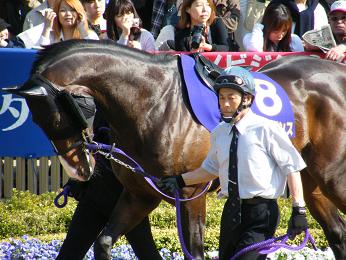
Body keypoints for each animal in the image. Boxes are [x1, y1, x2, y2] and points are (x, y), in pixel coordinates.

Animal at [5, 39, 346, 258]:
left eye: (56, 116)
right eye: (36, 120)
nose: (78, 169)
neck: (154, 100)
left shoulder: (192, 194)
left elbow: (194, 250)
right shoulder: (140, 194)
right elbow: (103, 241)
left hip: (333, 175)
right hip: (309, 180)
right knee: (338, 232)